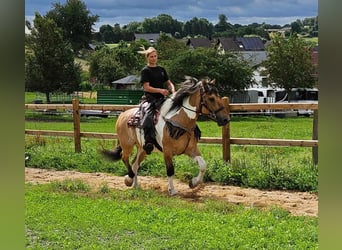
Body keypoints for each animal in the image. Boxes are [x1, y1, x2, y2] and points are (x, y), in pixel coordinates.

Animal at [101, 76, 230, 195]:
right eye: (211, 98)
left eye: (218, 96)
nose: (226, 119)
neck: (178, 121)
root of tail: (122, 115)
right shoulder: (167, 151)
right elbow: (170, 170)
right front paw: (172, 190)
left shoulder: (191, 149)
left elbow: (203, 165)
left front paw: (193, 183)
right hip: (127, 145)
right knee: (124, 157)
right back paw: (129, 179)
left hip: (143, 149)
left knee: (135, 164)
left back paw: (136, 186)